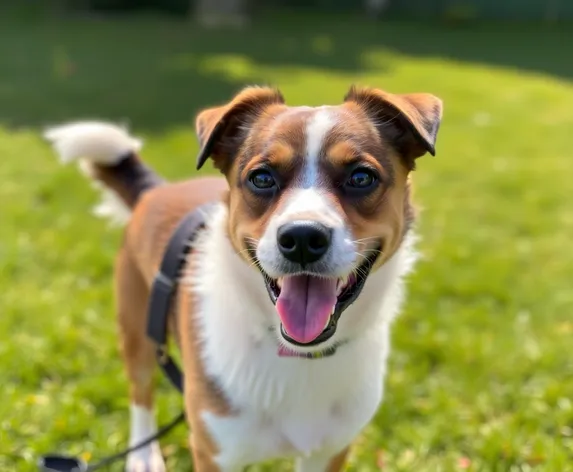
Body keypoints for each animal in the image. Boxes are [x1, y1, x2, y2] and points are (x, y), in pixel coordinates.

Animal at [44, 85, 442, 472]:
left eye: (361, 177)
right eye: (262, 178)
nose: (302, 238)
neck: (296, 355)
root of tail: (156, 190)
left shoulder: (328, 452)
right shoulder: (214, 453)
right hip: (138, 330)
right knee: (141, 393)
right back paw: (144, 456)